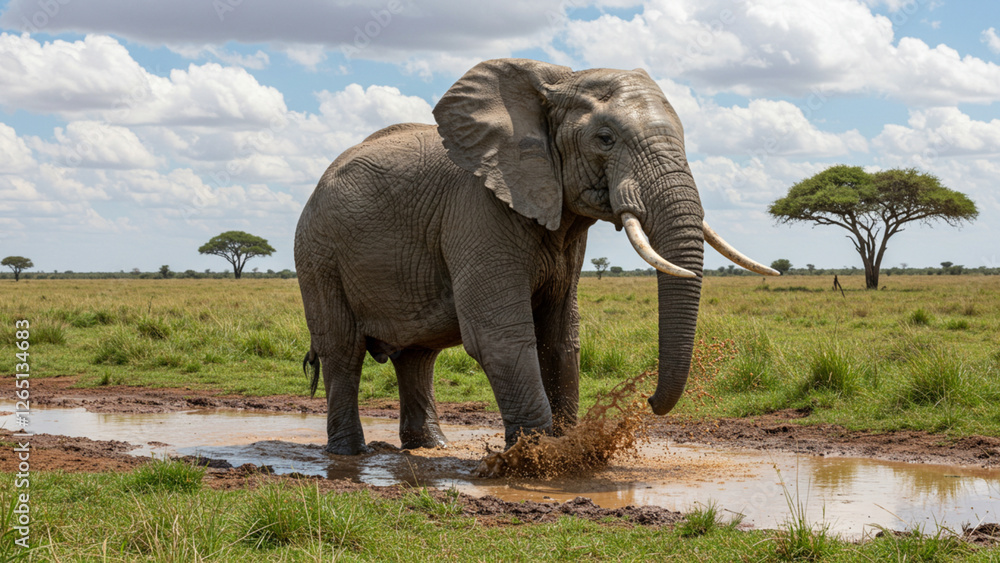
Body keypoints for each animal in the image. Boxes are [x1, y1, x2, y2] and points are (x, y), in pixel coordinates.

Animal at [295, 58, 776, 455]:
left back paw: (429, 447)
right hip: (318, 254)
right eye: (605, 139)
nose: (648, 399)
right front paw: (536, 462)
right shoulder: (477, 211)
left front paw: (567, 452)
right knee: (343, 351)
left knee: (417, 357)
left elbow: (561, 336)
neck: (554, 80)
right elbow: (501, 336)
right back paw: (349, 453)